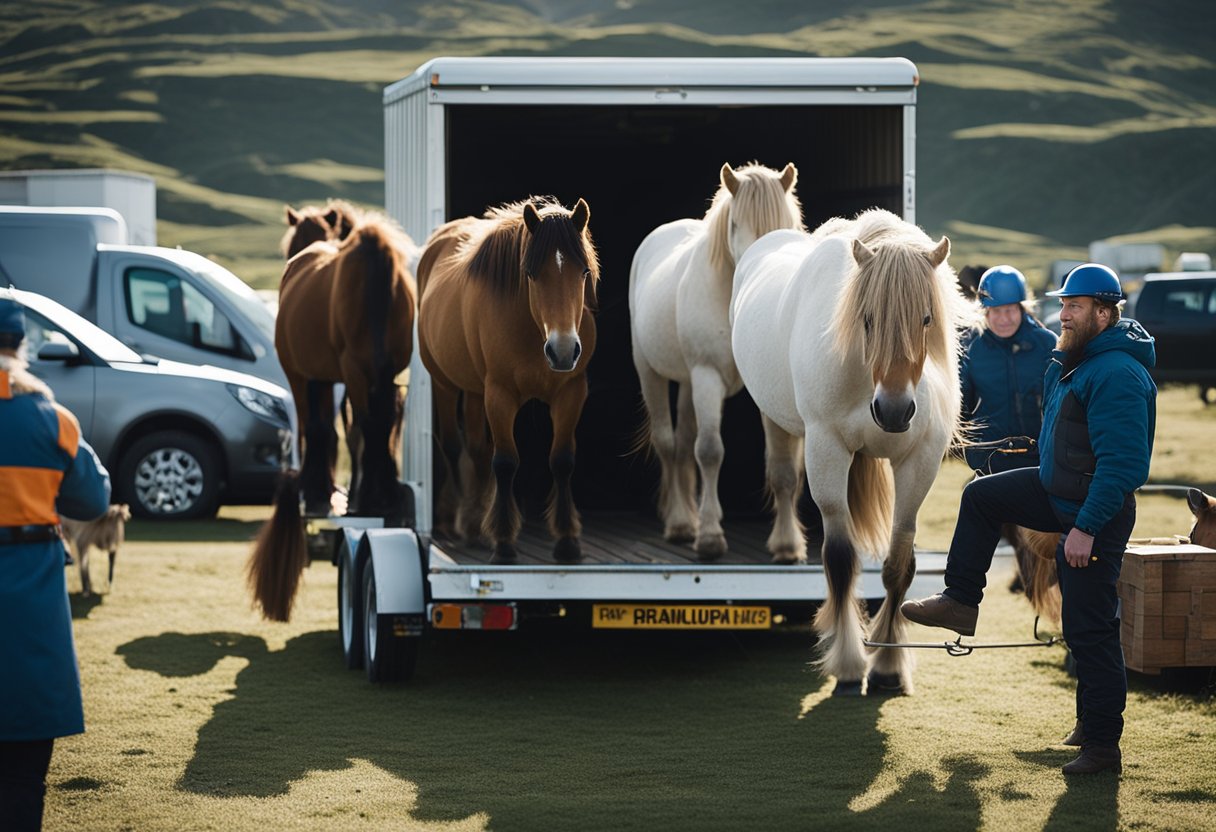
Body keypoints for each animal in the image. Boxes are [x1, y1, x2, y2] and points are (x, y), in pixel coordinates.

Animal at [248, 216, 418, 622]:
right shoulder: (376, 373)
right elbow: (362, 430)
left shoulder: (323, 374)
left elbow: (334, 429)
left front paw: (333, 493)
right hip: (359, 374)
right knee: (366, 425)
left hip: (325, 373)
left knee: (343, 426)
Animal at [415, 198, 600, 564]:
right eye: (531, 274)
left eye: (584, 272)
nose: (562, 351)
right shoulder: (499, 395)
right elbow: (504, 462)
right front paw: (502, 543)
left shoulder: (571, 393)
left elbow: (562, 460)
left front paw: (567, 541)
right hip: (445, 385)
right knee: (455, 446)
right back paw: (464, 522)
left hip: (475, 391)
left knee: (475, 448)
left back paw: (475, 523)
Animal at [627, 164, 807, 559]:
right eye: (736, 224)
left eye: (787, 224)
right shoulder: (707, 376)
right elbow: (710, 451)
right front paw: (709, 537)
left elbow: (783, 467)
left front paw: (787, 544)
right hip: (652, 372)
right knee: (668, 443)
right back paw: (680, 522)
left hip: (688, 382)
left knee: (682, 443)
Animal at [724, 209, 972, 695]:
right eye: (868, 318)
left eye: (927, 318)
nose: (894, 411)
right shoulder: (826, 449)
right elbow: (840, 560)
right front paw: (848, 663)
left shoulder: (920, 462)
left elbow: (899, 565)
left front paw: (888, 665)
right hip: (776, 420)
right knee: (784, 478)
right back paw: (786, 546)